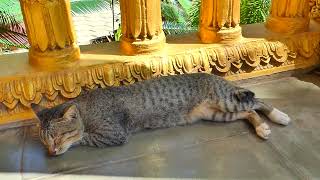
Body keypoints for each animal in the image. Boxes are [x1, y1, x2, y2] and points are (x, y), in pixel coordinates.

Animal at [31, 73, 292, 156]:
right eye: (43, 141)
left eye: (56, 137)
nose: (50, 152)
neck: (86, 108)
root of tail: (214, 75)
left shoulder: (114, 134)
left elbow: (82, 137)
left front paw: (72, 140)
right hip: (217, 113)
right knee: (248, 111)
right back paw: (262, 127)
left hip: (225, 100)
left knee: (257, 102)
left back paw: (278, 116)